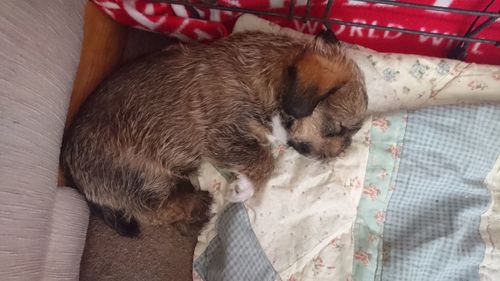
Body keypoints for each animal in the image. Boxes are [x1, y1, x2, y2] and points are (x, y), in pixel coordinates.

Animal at [60, 30, 364, 236]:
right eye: (339, 128)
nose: (342, 153)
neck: (268, 80)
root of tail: (74, 172)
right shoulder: (220, 136)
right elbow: (263, 160)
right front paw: (244, 188)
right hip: (144, 176)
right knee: (154, 213)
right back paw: (204, 204)